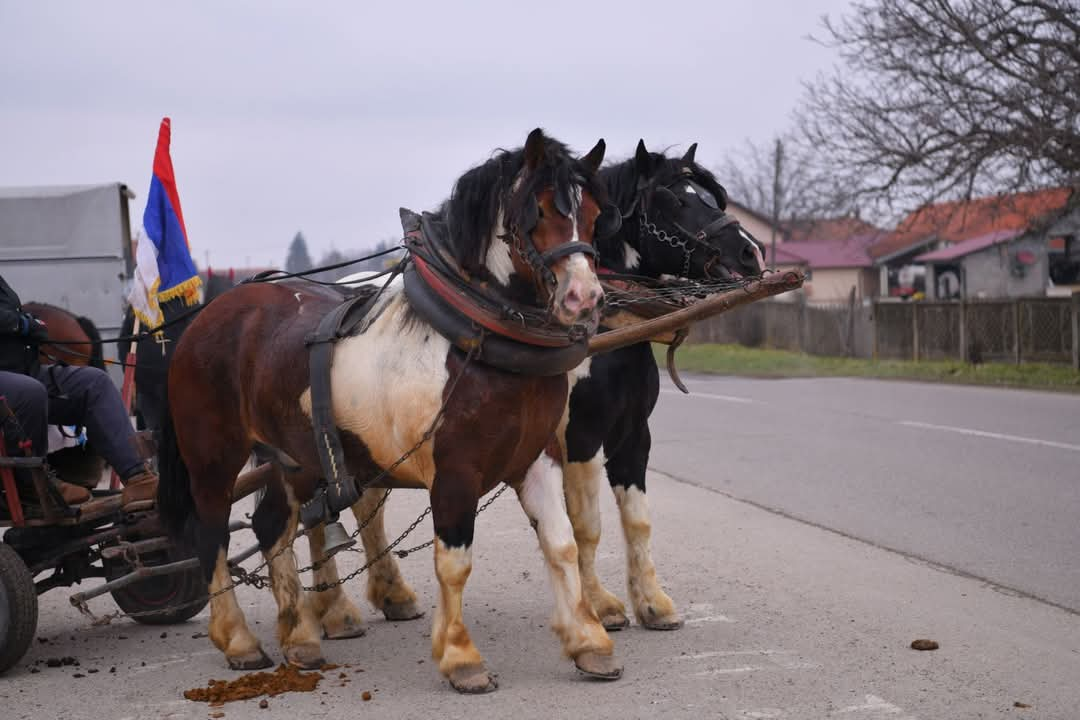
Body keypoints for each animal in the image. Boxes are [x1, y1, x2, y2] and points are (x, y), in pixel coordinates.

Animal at [156, 129, 622, 690]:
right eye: (541, 210)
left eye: (594, 213)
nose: (584, 298)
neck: (475, 336)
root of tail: (204, 318)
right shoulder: (455, 473)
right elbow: (454, 562)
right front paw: (461, 657)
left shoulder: (538, 458)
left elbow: (562, 543)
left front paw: (589, 642)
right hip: (213, 457)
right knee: (212, 536)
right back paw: (239, 640)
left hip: (294, 457)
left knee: (272, 527)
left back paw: (300, 637)